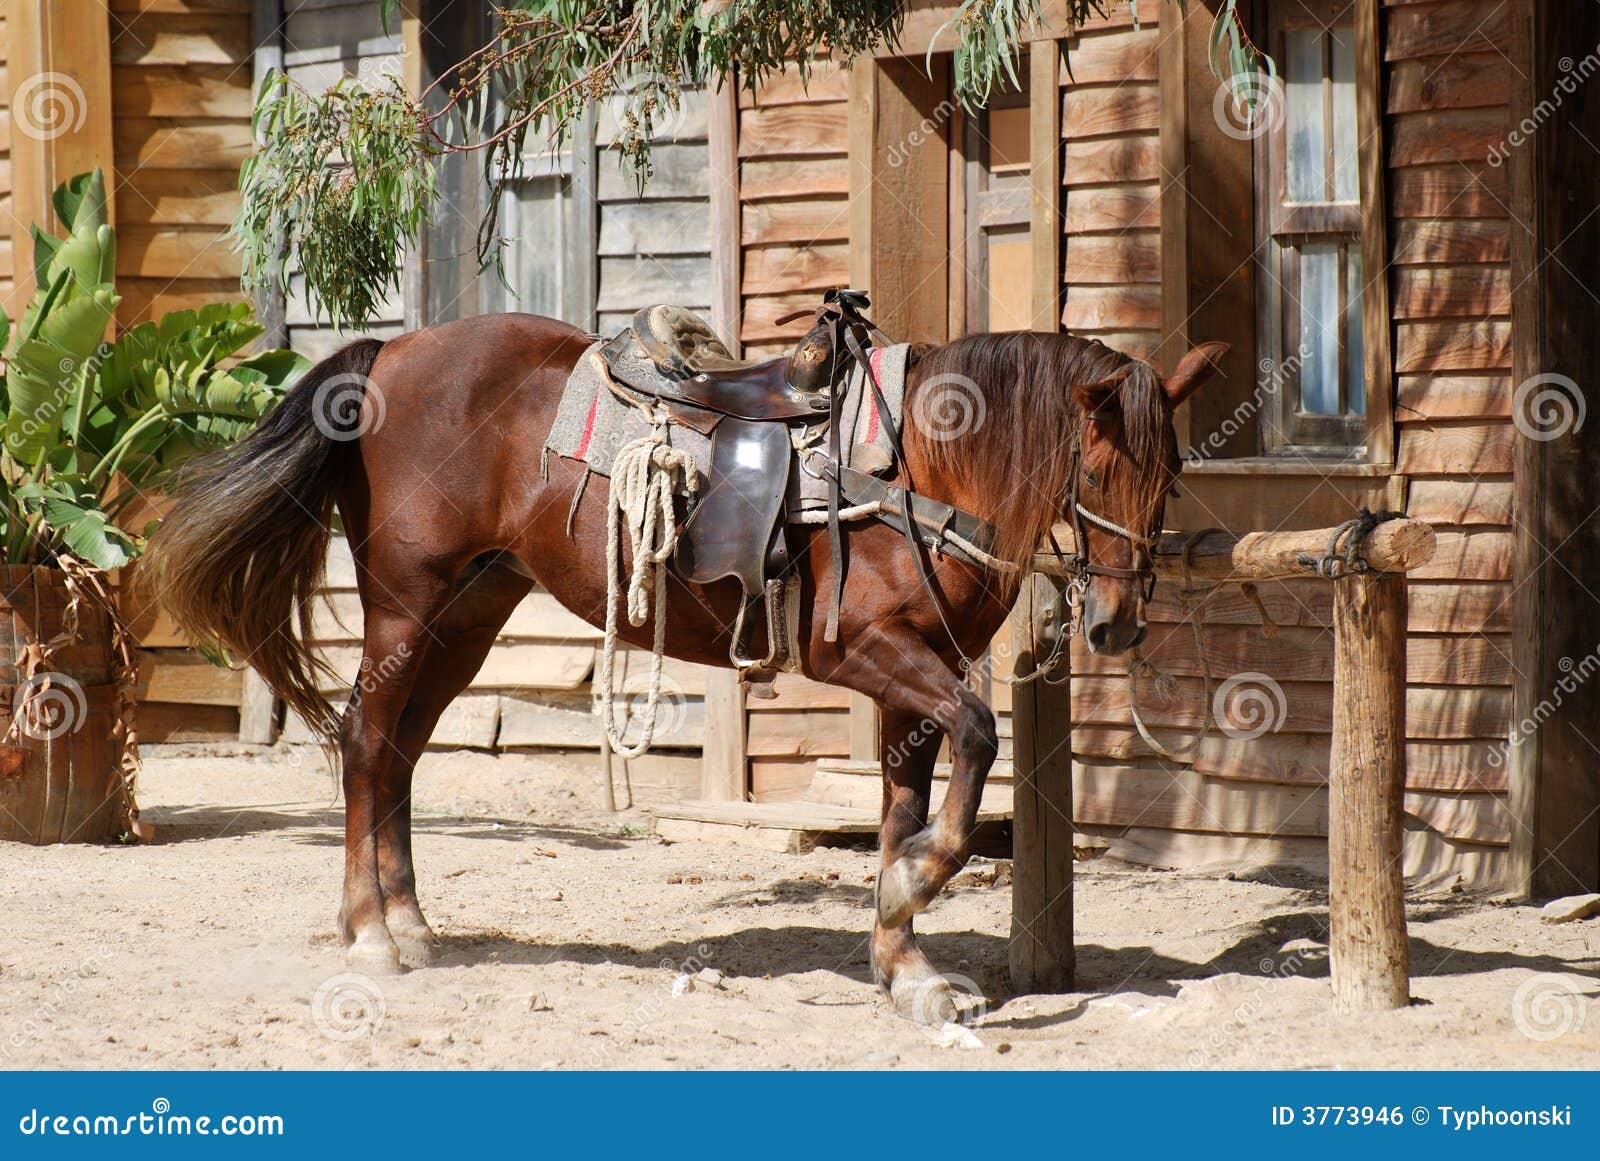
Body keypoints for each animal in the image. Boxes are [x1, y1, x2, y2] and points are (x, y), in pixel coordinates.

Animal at [147, 311, 1222, 1029]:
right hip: (406, 606)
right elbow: (973, 745)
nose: (1118, 623)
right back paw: (369, 931)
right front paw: (909, 892)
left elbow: (907, 803)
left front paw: (903, 955)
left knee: (403, 752)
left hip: (471, 612)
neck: (911, 461)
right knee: (367, 739)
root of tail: (390, 355)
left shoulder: (917, 671)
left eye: (1169, 476)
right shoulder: (867, 652)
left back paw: (409, 920)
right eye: (1094, 472)